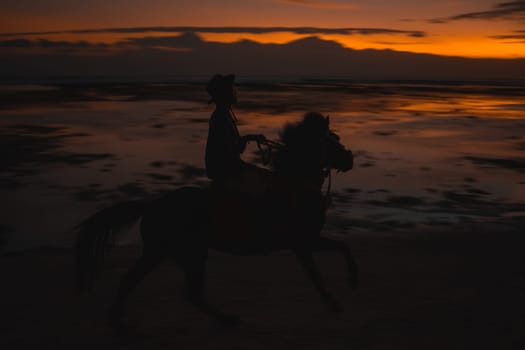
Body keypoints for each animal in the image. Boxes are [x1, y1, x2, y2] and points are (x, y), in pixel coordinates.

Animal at [75, 111, 356, 328]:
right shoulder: (302, 243)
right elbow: (317, 274)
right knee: (161, 286)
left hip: (178, 252)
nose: (350, 158)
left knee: (183, 291)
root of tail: (151, 205)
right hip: (179, 252)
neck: (295, 186)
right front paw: (335, 301)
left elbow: (343, 247)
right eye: (330, 141)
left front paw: (351, 282)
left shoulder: (308, 240)